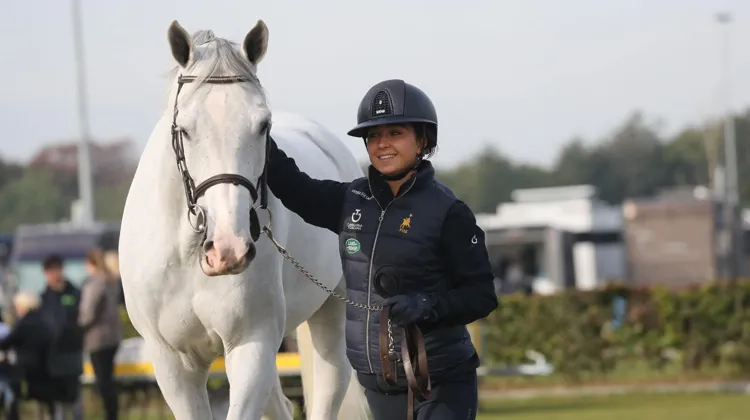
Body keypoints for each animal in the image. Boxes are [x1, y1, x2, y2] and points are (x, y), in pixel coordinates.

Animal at [118, 19, 371, 420]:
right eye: (185, 128)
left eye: (263, 125)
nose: (228, 250)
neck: (188, 256)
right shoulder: (173, 363)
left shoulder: (252, 344)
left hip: (331, 318)